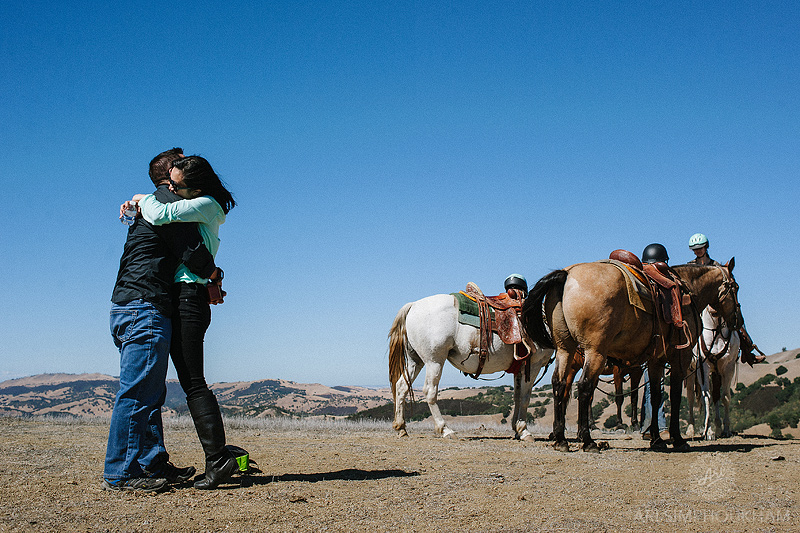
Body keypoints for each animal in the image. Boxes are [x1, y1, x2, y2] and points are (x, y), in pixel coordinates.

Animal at [390, 294, 552, 438]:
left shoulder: (519, 369)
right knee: (430, 391)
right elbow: (525, 398)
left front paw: (516, 429)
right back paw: (445, 430)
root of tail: (413, 305)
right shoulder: (533, 365)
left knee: (401, 387)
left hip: (415, 361)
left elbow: (517, 397)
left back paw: (401, 428)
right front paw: (524, 431)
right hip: (434, 361)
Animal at [684, 306, 740, 438]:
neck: (716, 330)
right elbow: (706, 398)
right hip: (689, 370)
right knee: (690, 397)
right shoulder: (703, 367)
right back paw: (691, 428)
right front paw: (708, 431)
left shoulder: (728, 367)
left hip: (715, 373)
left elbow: (725, 397)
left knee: (716, 396)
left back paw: (718, 427)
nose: (714, 310)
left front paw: (726, 430)